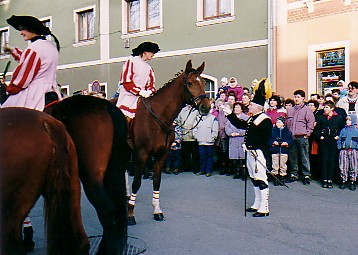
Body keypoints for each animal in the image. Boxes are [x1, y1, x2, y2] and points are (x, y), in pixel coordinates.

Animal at [126, 59, 211, 225]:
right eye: (189, 83)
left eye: (204, 82)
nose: (206, 107)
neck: (158, 117)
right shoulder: (141, 154)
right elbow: (137, 182)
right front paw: (130, 214)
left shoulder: (162, 155)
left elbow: (157, 181)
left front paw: (157, 211)